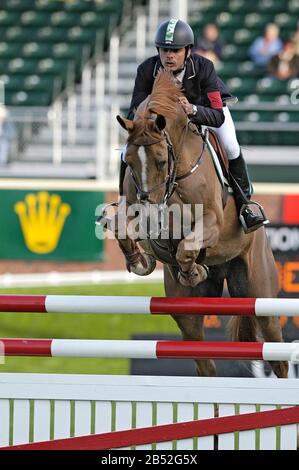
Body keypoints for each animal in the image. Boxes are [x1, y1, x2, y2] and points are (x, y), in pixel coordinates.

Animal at [113, 70, 290, 378]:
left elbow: (187, 247)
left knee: (278, 356)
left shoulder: (211, 223)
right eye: (130, 162)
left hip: (261, 296)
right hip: (188, 313)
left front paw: (192, 268)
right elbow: (122, 228)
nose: (150, 210)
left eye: (161, 161)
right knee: (205, 363)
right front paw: (139, 262)